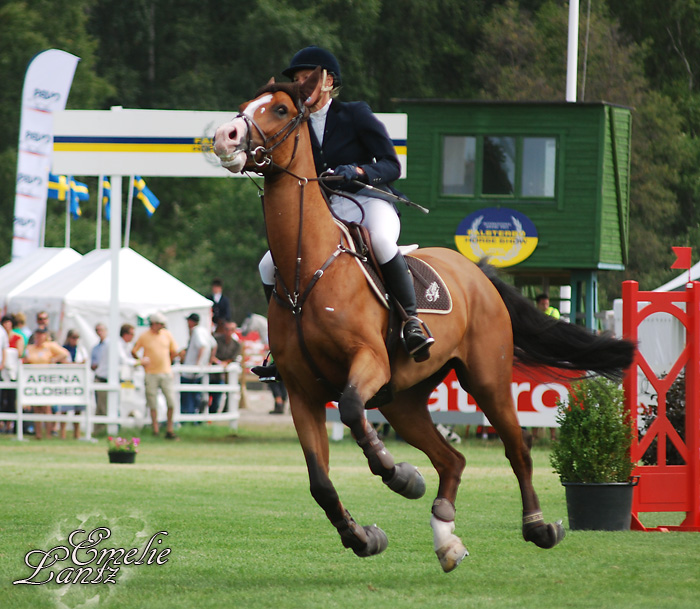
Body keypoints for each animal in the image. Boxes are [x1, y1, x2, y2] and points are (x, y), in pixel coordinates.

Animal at [212, 69, 636, 572]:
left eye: (279, 109)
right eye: (245, 106)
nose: (223, 136)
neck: (307, 266)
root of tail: (477, 273)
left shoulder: (368, 362)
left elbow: (351, 410)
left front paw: (398, 474)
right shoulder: (301, 392)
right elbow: (321, 483)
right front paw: (363, 537)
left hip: (486, 379)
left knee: (517, 448)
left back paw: (537, 527)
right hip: (403, 399)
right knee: (451, 460)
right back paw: (446, 537)